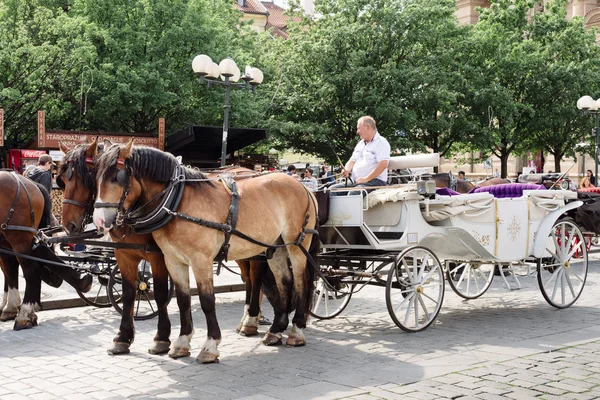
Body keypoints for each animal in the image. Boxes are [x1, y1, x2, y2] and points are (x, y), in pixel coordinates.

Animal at [57, 140, 274, 356]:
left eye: (86, 178)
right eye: (63, 181)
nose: (69, 226)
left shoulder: (158, 256)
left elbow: (159, 293)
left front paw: (162, 338)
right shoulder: (124, 254)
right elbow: (129, 293)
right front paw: (123, 338)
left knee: (255, 278)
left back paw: (252, 319)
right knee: (248, 279)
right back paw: (249, 318)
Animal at [92, 142, 318, 364]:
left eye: (117, 177)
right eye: (96, 177)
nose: (99, 221)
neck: (177, 202)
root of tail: (303, 186)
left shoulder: (201, 260)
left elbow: (207, 301)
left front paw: (210, 346)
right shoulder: (173, 260)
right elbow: (183, 300)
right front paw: (181, 343)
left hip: (296, 244)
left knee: (300, 281)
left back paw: (296, 330)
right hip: (275, 246)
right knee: (285, 281)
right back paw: (276, 330)